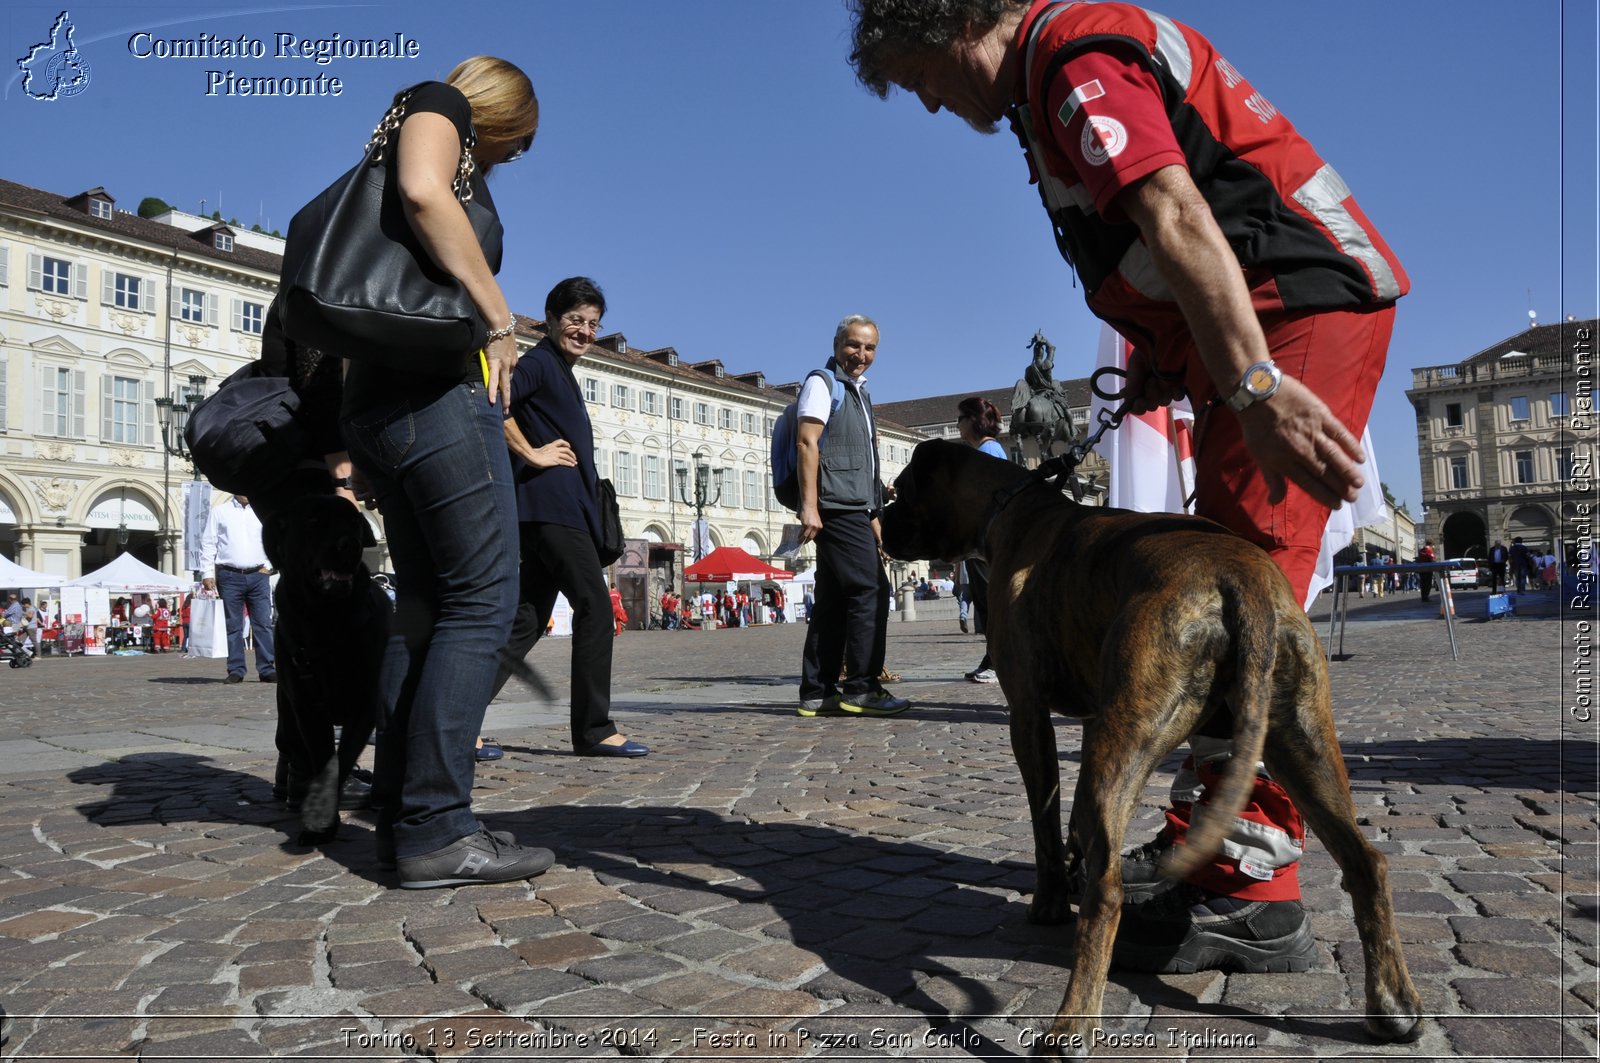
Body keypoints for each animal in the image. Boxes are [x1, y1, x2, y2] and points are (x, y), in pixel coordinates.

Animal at [262, 493, 390, 845]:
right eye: (313, 521)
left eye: (353, 522)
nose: (349, 545)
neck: (326, 619)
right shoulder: (308, 704)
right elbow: (324, 758)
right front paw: (320, 816)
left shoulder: (365, 705)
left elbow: (341, 759)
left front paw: (321, 812)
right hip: (288, 709)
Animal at [883, 438, 1420, 1056]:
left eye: (901, 489)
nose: (877, 516)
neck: (1014, 508)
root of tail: (1239, 579)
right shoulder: (1093, 720)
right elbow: (1070, 826)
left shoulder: (1029, 717)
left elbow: (1045, 826)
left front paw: (1049, 902)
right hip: (1298, 747)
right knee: (1366, 863)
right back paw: (1393, 1006)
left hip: (1125, 745)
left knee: (1108, 892)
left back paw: (1071, 1026)